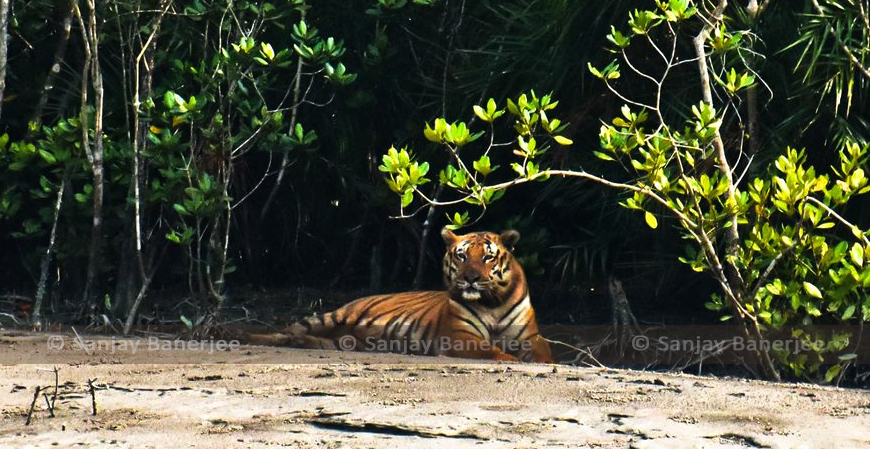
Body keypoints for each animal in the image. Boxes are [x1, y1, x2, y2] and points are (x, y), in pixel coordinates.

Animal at [249, 229, 556, 362]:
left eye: (488, 257)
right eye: (462, 256)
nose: (471, 278)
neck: (492, 303)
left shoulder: (530, 337)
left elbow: (544, 354)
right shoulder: (461, 337)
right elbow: (492, 350)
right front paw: (511, 359)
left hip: (348, 341)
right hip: (334, 315)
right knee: (288, 330)